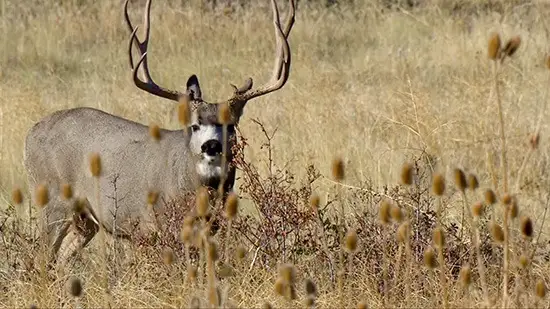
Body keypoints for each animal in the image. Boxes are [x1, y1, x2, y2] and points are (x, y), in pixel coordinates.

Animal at [24, 0, 298, 266]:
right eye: (194, 125)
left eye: (230, 125)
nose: (211, 145)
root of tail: (30, 134)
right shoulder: (159, 223)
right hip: (52, 200)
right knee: (40, 259)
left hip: (84, 219)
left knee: (60, 260)